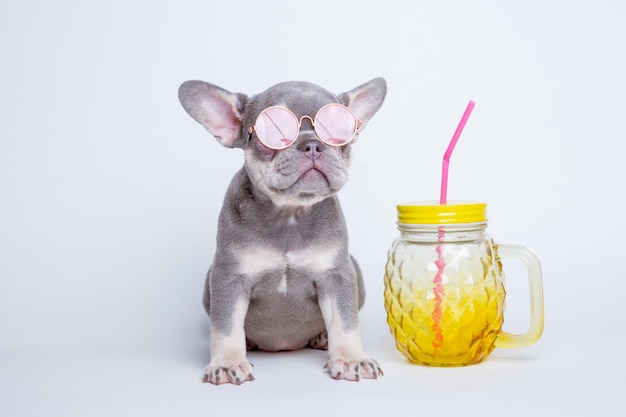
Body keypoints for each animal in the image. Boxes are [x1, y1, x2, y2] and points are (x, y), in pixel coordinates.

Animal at [176, 77, 388, 384]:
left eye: (339, 130)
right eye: (273, 130)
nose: (312, 144)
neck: (290, 214)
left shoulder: (337, 277)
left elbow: (345, 322)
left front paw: (350, 358)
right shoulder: (229, 278)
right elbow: (226, 326)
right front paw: (227, 362)